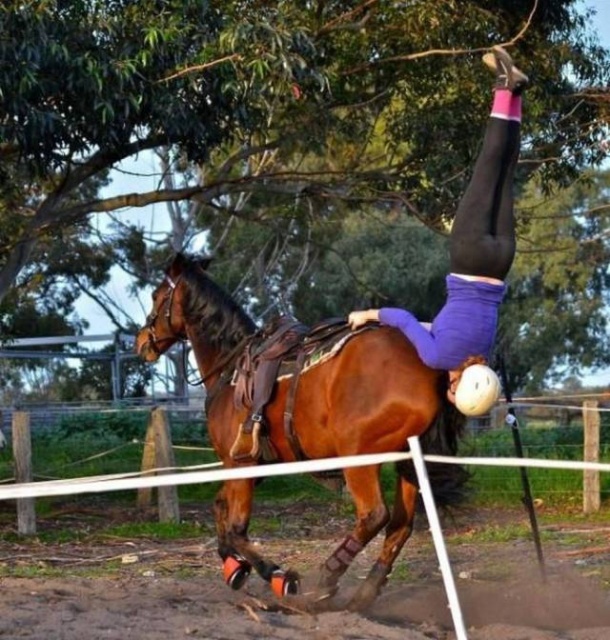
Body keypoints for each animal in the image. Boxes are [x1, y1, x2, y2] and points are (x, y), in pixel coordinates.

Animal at [134, 251, 466, 608]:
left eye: (156, 296)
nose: (141, 341)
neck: (231, 368)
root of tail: (428, 366)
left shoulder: (240, 462)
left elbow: (236, 527)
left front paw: (278, 576)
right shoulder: (250, 466)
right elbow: (220, 507)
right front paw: (233, 566)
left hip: (359, 458)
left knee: (374, 516)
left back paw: (326, 579)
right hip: (407, 462)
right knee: (400, 525)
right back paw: (364, 593)